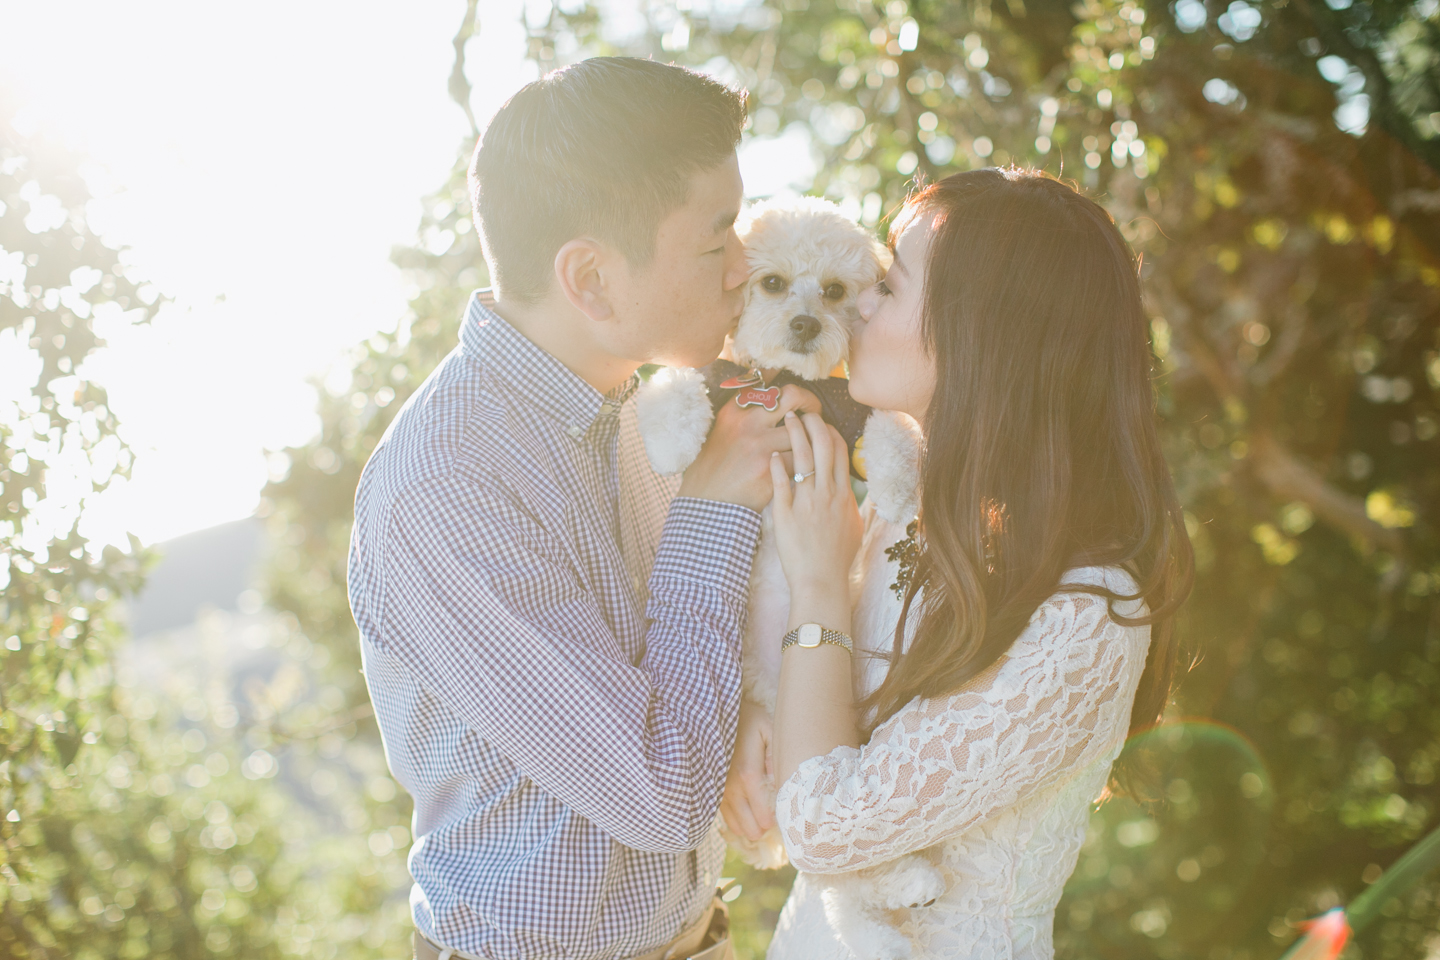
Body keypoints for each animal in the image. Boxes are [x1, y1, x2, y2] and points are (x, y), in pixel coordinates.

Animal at [636, 197, 938, 960]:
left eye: (832, 291)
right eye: (771, 283)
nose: (805, 323)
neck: (786, 386)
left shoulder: (849, 409)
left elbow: (893, 430)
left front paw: (898, 492)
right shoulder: (713, 378)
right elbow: (674, 386)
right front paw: (675, 440)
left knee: (841, 865)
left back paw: (904, 887)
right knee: (831, 868)